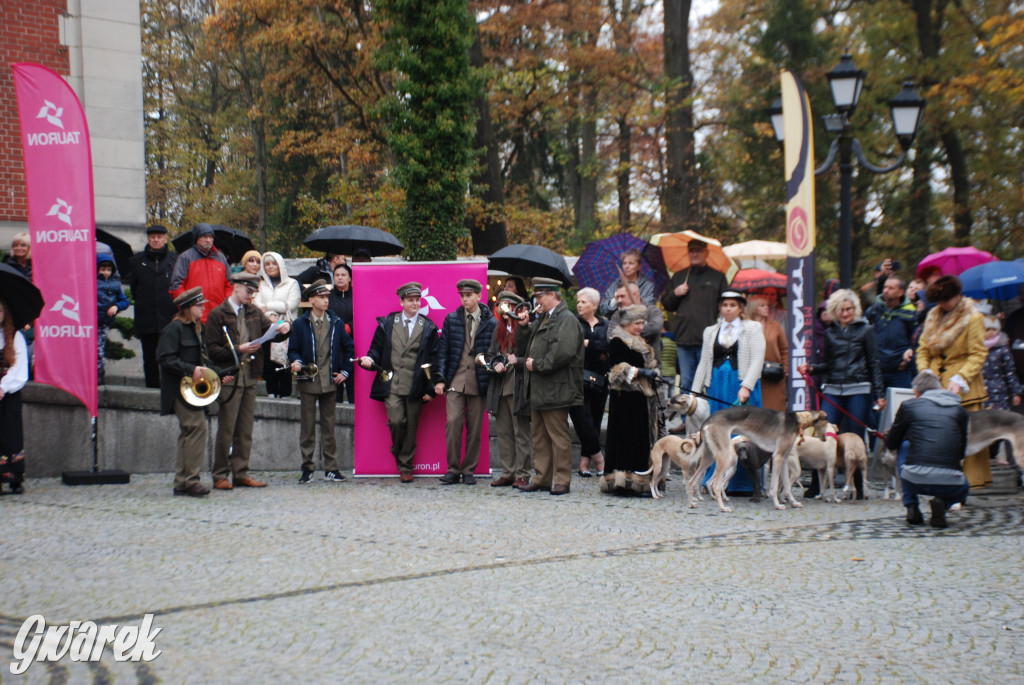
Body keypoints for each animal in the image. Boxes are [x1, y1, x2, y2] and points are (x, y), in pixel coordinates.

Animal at [684, 405, 827, 507]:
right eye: (826, 421)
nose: (826, 439)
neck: (797, 419)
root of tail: (709, 419)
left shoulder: (784, 459)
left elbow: (787, 486)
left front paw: (793, 502)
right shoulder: (777, 457)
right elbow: (774, 487)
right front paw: (777, 504)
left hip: (709, 458)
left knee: (692, 482)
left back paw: (691, 504)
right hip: (725, 457)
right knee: (716, 485)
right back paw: (723, 508)